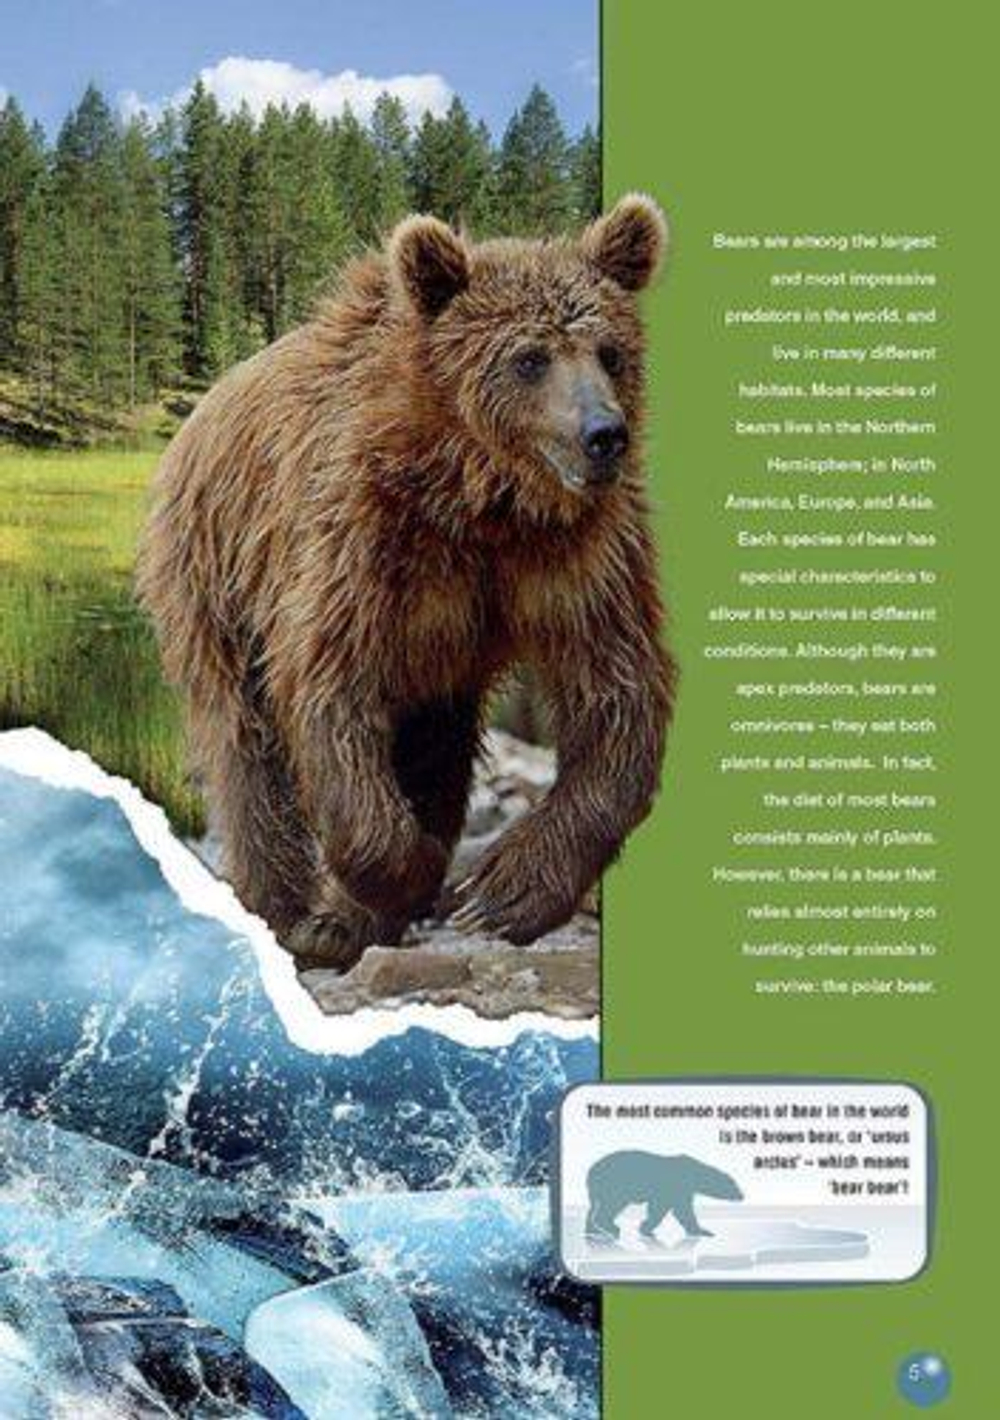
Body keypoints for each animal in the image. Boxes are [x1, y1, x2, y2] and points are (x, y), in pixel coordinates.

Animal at [137, 194, 676, 971]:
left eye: (610, 352)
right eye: (530, 358)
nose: (604, 434)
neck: (480, 493)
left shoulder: (577, 553)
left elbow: (616, 689)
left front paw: (501, 892)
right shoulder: (357, 535)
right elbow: (329, 688)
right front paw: (400, 874)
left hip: (438, 660)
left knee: (436, 743)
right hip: (211, 567)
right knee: (245, 737)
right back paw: (293, 910)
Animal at [585, 1151, 744, 1244]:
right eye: (734, 1185)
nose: (742, 1195)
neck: (695, 1171)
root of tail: (591, 1172)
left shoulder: (683, 1189)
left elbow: (678, 1209)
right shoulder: (674, 1186)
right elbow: (671, 1208)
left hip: (598, 1190)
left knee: (593, 1207)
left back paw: (592, 1231)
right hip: (614, 1184)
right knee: (611, 1204)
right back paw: (612, 1227)